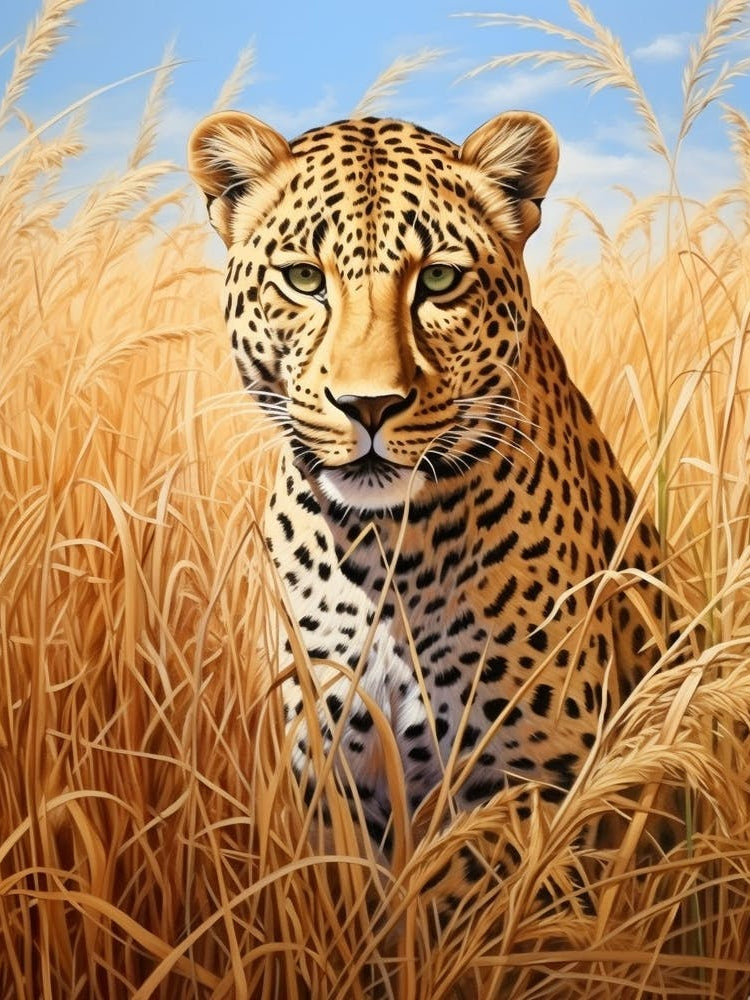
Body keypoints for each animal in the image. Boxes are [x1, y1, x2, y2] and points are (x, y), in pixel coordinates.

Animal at [188, 109, 669, 859]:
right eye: (304, 278)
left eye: (439, 280)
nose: (370, 405)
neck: (381, 553)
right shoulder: (330, 773)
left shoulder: (527, 780)